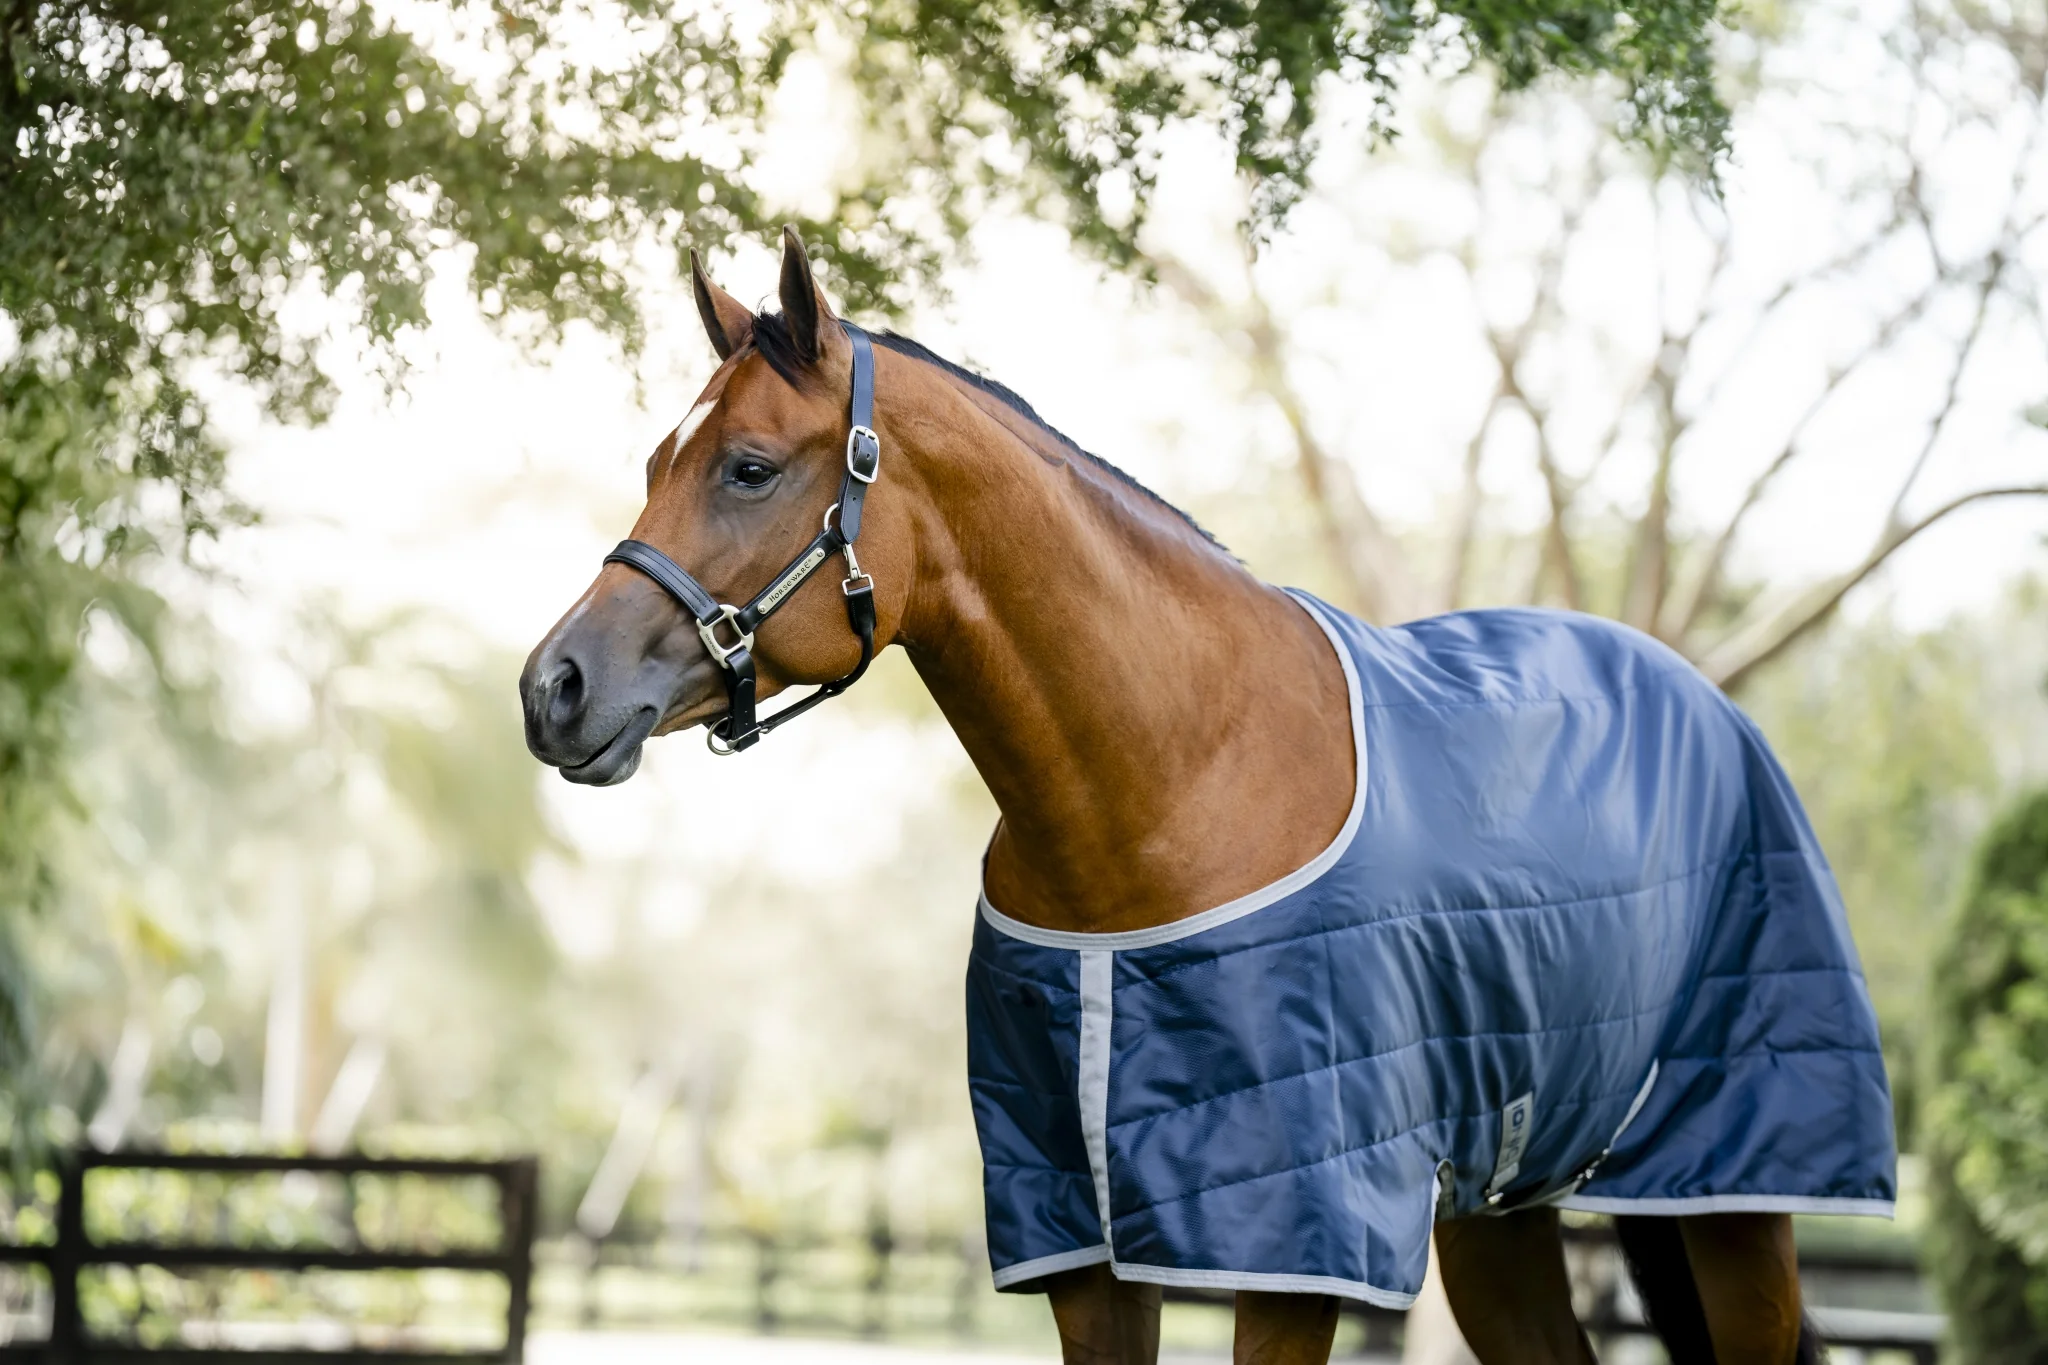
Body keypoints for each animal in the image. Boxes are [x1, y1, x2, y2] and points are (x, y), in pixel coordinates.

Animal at [520, 229, 1895, 1365]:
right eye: (657, 459)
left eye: (749, 469)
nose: (554, 688)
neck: (1167, 783)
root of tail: (1706, 703)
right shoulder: (1081, 1245)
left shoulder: (1288, 1245)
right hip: (1503, 1207)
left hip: (1734, 1191)